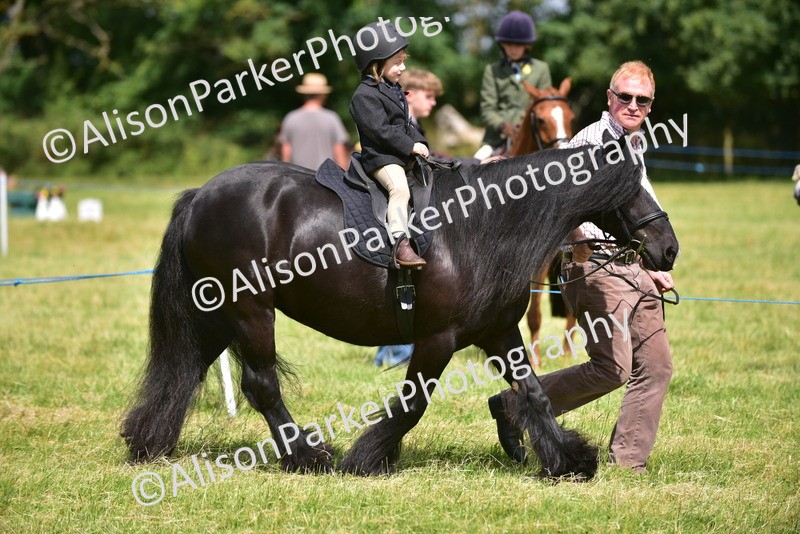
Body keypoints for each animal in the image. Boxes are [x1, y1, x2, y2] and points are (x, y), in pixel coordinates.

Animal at [121, 135, 679, 480]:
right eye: (633, 187)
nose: (668, 249)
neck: (480, 228)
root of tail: (200, 195)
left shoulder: (498, 332)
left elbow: (535, 393)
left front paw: (567, 459)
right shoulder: (437, 340)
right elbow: (414, 403)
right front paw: (368, 458)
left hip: (217, 317)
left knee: (185, 371)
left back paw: (148, 442)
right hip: (250, 312)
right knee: (261, 386)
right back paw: (306, 455)